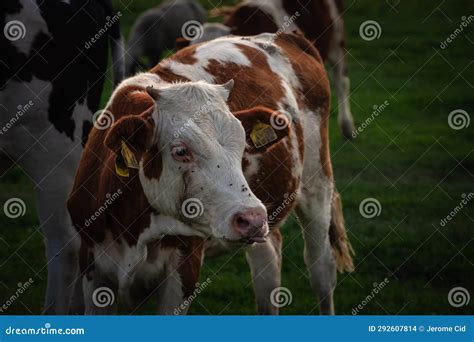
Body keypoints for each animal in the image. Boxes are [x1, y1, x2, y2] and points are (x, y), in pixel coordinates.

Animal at [66, 32, 352, 316]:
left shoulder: (183, 272)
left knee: (321, 268)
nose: (252, 218)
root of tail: (283, 36)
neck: (134, 229)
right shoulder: (93, 268)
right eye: (181, 151)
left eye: (243, 144)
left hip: (316, 184)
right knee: (268, 266)